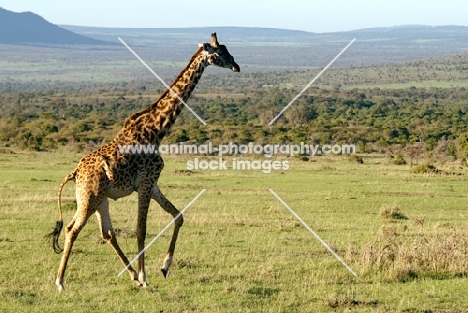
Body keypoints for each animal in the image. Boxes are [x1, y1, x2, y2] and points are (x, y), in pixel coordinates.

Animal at [45, 33, 239, 292]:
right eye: (218, 54)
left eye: (227, 50)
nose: (236, 66)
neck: (158, 129)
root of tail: (75, 172)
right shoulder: (146, 183)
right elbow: (141, 229)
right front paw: (146, 277)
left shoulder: (152, 183)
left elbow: (178, 216)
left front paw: (164, 267)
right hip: (89, 196)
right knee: (72, 229)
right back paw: (61, 281)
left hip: (99, 198)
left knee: (106, 233)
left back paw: (131, 275)